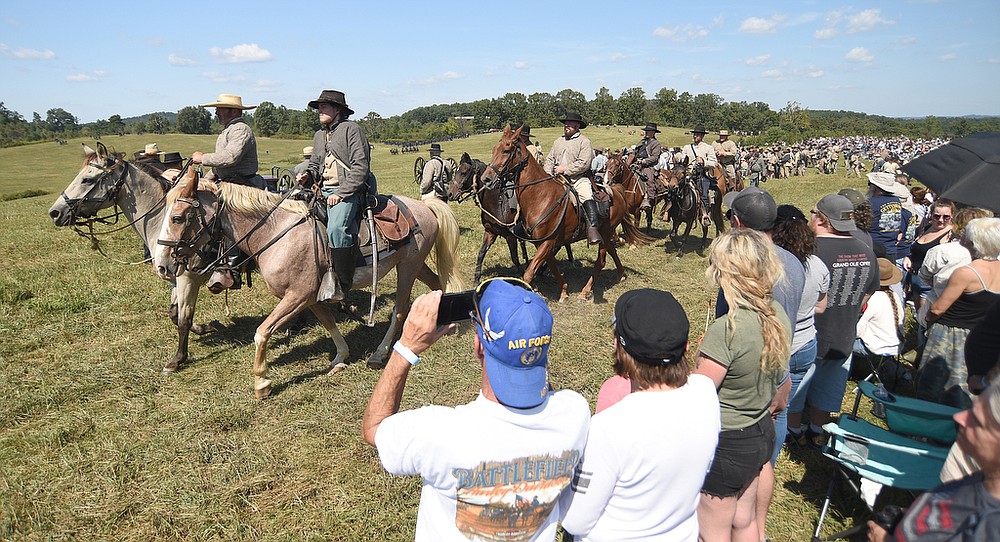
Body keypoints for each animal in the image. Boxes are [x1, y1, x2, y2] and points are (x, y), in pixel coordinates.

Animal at [47, 142, 216, 376]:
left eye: (87, 179)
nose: (54, 212)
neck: (163, 221)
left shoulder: (187, 280)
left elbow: (183, 319)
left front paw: (177, 359)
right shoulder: (173, 277)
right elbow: (174, 314)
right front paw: (204, 327)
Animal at [154, 170, 462, 400]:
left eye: (177, 217)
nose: (162, 265)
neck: (277, 233)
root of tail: (425, 205)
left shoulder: (297, 296)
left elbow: (262, 332)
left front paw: (261, 382)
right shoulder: (311, 296)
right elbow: (328, 322)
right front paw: (340, 357)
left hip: (408, 267)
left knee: (400, 310)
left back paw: (380, 353)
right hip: (415, 265)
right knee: (437, 283)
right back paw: (451, 324)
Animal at [480, 125, 652, 302]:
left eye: (506, 150)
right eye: (494, 150)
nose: (486, 179)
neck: (540, 197)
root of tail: (616, 192)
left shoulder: (548, 242)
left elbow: (529, 273)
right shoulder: (542, 243)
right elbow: (552, 266)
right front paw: (563, 291)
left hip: (605, 233)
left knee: (601, 261)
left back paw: (585, 292)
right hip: (606, 233)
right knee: (612, 250)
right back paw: (621, 274)